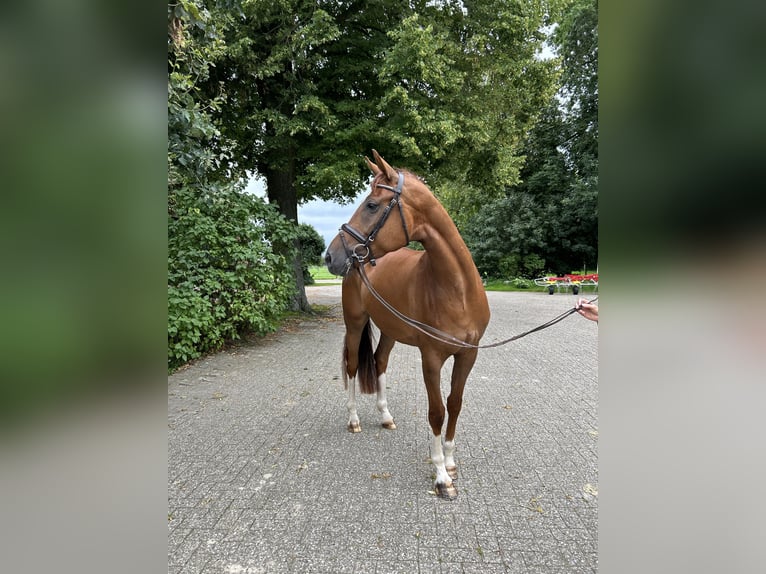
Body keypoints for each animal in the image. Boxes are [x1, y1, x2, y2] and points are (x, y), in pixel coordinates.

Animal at [324, 151, 492, 502]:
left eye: (372, 205)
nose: (330, 256)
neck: (457, 290)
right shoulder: (431, 357)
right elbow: (436, 411)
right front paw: (441, 477)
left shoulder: (468, 355)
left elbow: (454, 405)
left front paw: (450, 463)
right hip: (355, 325)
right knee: (351, 366)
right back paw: (354, 420)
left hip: (390, 330)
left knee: (379, 362)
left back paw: (385, 417)